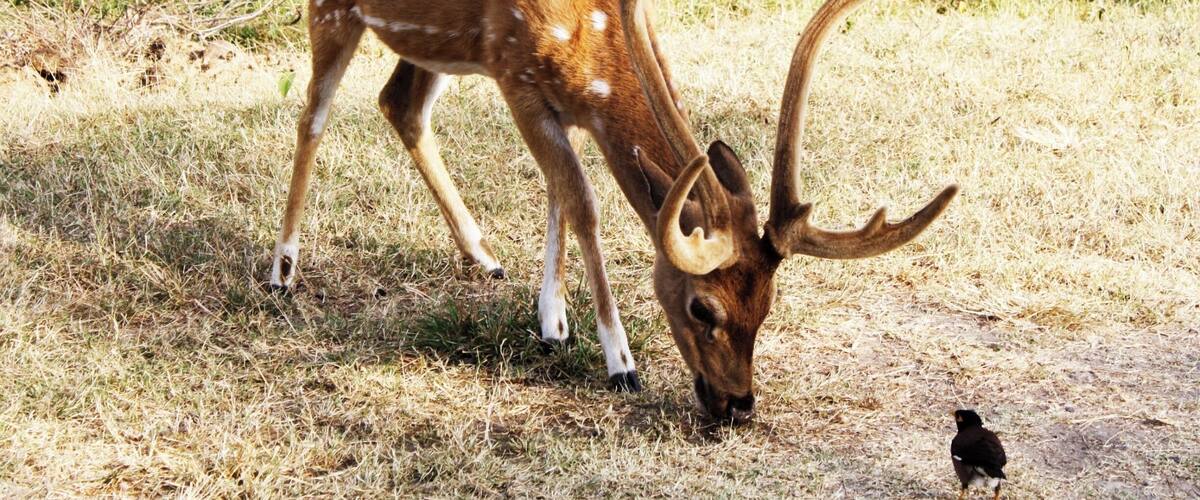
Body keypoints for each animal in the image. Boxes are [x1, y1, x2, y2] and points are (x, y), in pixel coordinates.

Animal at [269, 0, 958, 423]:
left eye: (767, 307)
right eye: (702, 308)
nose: (739, 404)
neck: (589, 46)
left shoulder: (558, 105)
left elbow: (556, 195)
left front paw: (552, 322)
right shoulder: (516, 76)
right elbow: (584, 202)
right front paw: (618, 361)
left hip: (428, 46)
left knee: (399, 103)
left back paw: (483, 255)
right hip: (333, 13)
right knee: (313, 116)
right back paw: (282, 269)